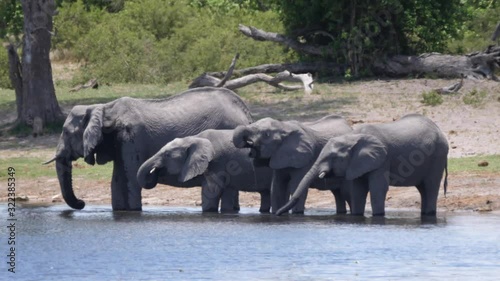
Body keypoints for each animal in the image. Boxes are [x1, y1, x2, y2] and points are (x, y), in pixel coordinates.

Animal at [136, 129, 274, 212]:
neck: (195, 139)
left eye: (167, 155)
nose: (155, 171)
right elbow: (227, 194)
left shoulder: (217, 165)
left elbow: (212, 193)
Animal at [278, 113, 450, 217]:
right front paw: (357, 216)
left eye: (334, 157)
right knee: (423, 189)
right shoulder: (356, 163)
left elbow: (378, 187)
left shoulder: (382, 159)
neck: (352, 137)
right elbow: (357, 189)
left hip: (438, 155)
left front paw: (378, 216)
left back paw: (429, 214)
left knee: (430, 186)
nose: (277, 214)